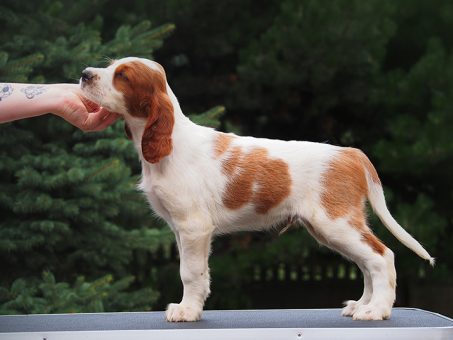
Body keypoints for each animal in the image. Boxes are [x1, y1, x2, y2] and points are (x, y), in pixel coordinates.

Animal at [79, 57, 432, 322]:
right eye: (110, 67)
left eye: (122, 76)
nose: (84, 74)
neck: (170, 145)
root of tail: (350, 153)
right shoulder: (182, 229)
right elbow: (199, 272)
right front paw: (193, 307)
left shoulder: (193, 227)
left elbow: (189, 272)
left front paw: (187, 311)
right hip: (332, 228)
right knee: (366, 261)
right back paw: (363, 304)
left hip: (336, 222)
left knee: (381, 256)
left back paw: (377, 310)